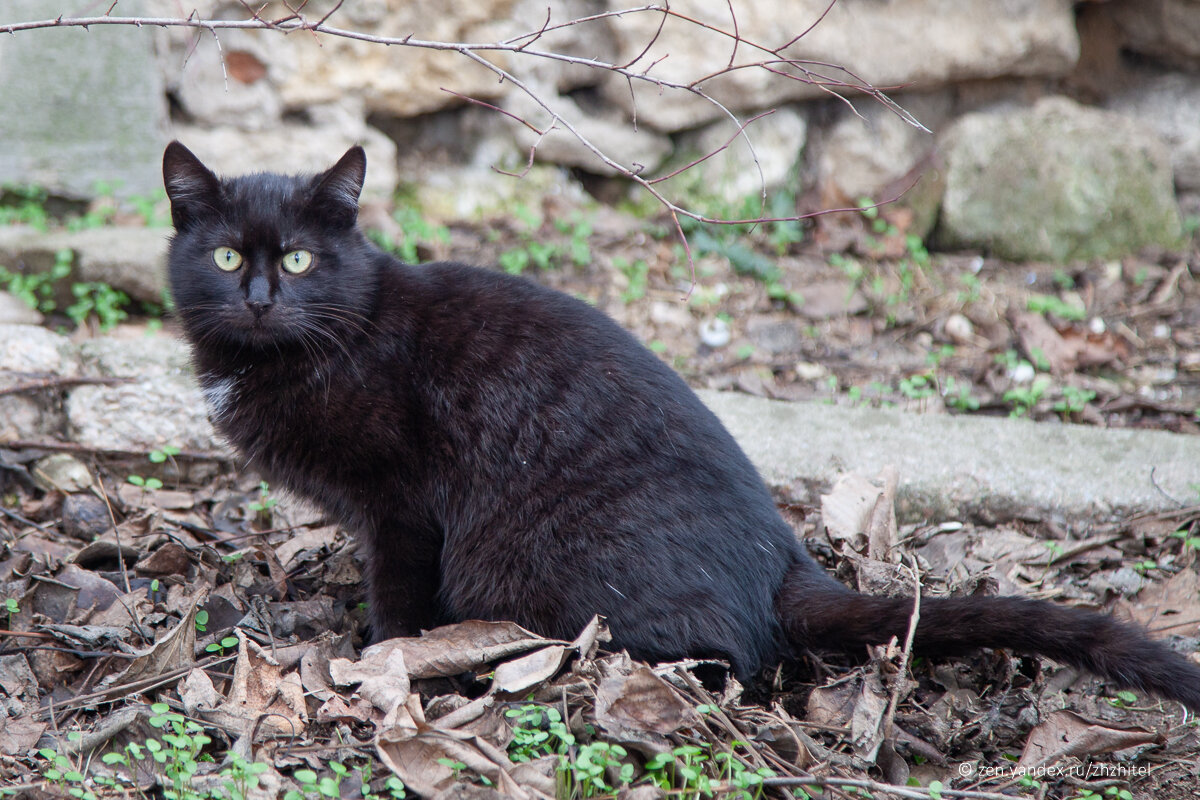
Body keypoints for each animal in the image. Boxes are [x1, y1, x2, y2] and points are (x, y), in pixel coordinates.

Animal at [162, 140, 1200, 710]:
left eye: (299, 259)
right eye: (227, 256)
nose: (259, 297)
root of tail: (785, 563)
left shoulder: (404, 505)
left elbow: (399, 595)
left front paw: (380, 657)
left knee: (727, 660)